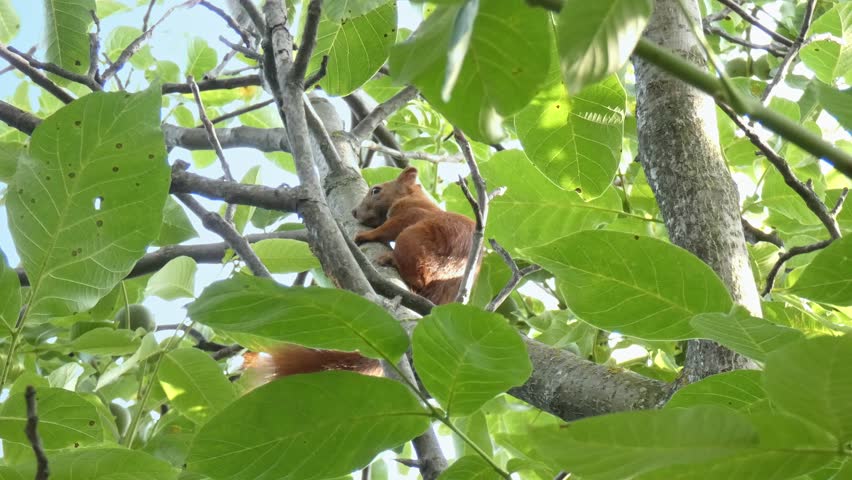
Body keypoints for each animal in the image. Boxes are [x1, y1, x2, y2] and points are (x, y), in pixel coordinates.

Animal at [259, 167, 476, 378]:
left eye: (376, 190)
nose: (354, 212)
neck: (415, 197)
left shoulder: (408, 212)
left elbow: (388, 228)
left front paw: (365, 235)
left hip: (412, 239)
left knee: (419, 277)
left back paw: (391, 259)